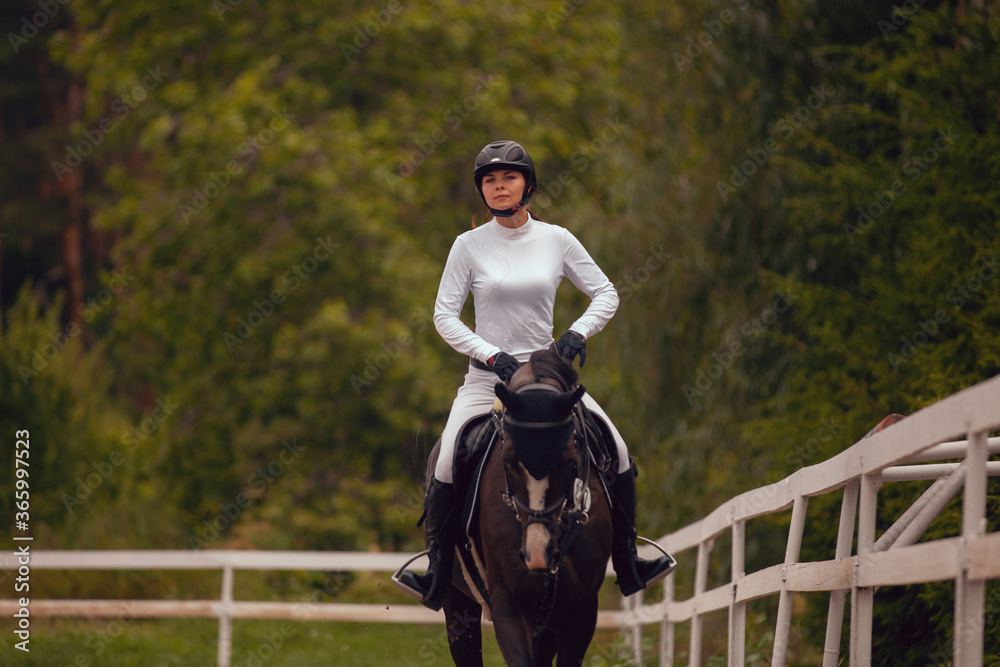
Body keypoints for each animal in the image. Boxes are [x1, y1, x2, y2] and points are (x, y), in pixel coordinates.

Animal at [404, 352, 608, 664]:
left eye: (567, 457)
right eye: (508, 460)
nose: (536, 553)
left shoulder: (583, 609)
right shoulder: (508, 604)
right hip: (457, 601)